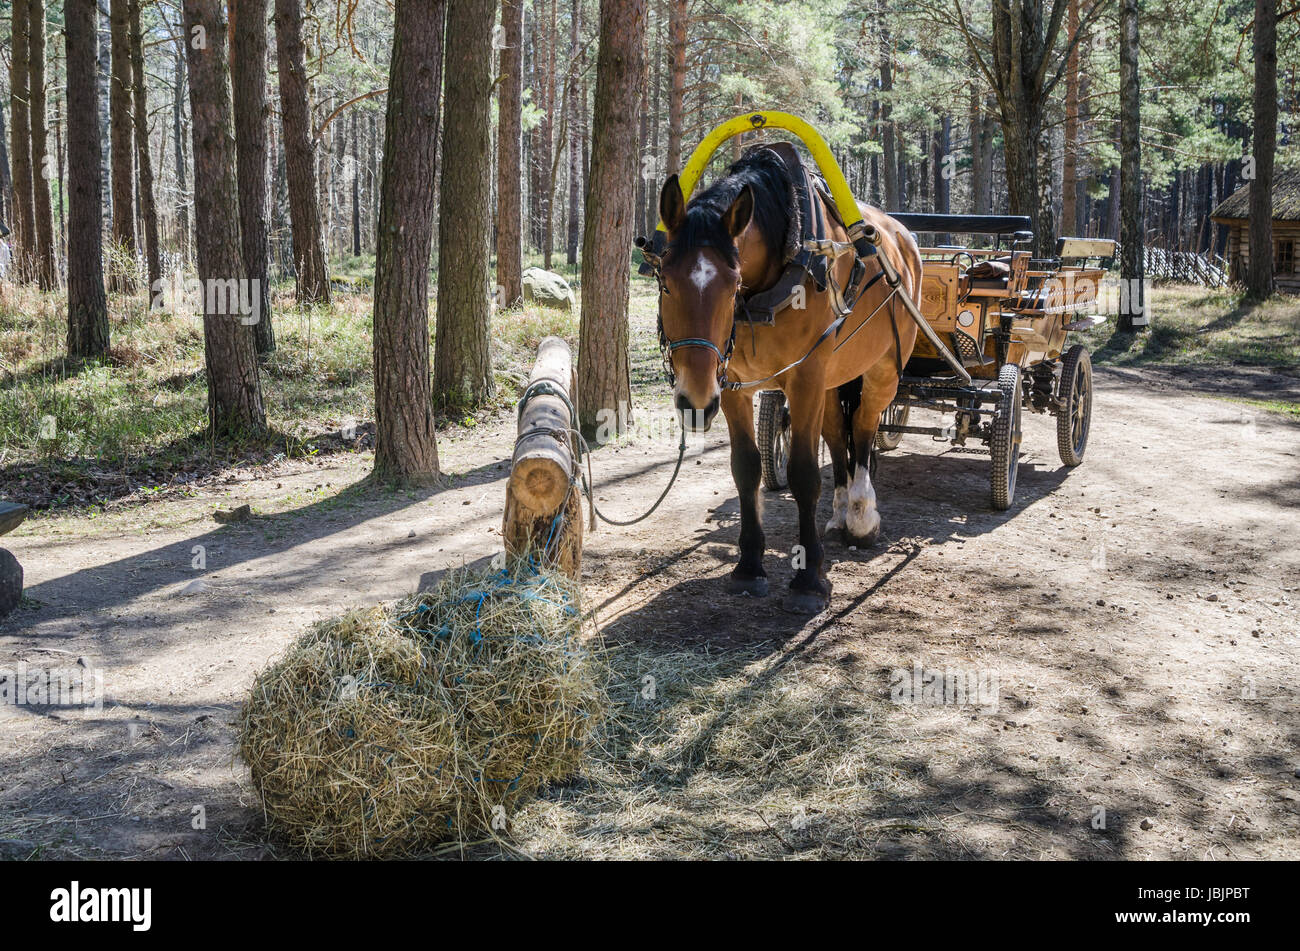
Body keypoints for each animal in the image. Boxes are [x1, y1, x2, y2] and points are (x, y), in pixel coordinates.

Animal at [660, 144, 925, 613]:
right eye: (665, 282)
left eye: (732, 285)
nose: (695, 401)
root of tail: (904, 237)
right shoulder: (731, 383)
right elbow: (745, 468)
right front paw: (749, 566)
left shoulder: (805, 378)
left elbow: (803, 472)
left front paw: (809, 578)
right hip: (833, 377)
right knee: (838, 434)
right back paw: (840, 511)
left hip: (883, 370)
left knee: (865, 427)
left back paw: (861, 514)